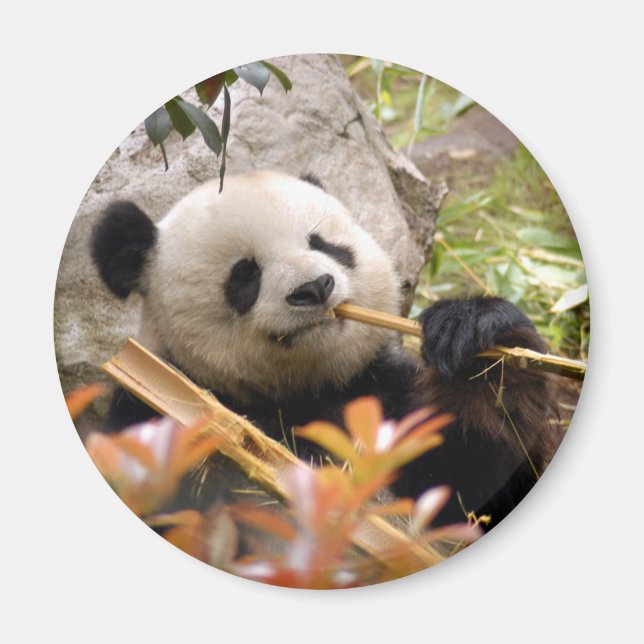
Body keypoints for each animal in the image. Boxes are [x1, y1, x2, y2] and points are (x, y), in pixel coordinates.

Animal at [91, 170, 559, 530]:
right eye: (245, 274)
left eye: (323, 244)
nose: (315, 287)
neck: (302, 391)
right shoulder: (150, 407)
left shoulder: (377, 393)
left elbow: (472, 481)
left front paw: (475, 338)